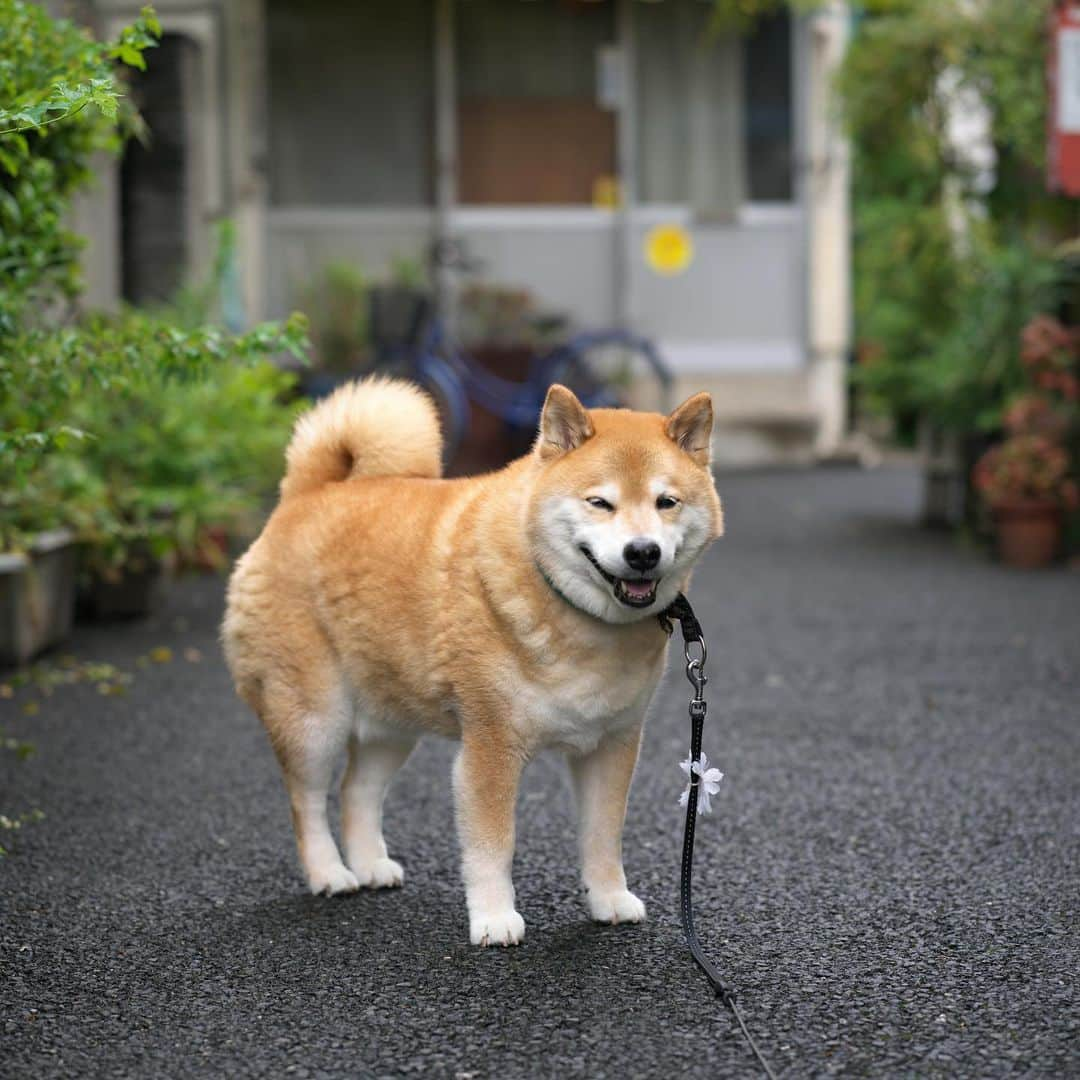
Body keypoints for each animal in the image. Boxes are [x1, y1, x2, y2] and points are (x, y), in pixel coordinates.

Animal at [222, 378, 721, 946]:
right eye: (600, 502)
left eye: (666, 502)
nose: (642, 552)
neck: (573, 617)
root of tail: (304, 496)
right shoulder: (491, 747)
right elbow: (492, 847)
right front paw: (493, 918)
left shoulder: (611, 745)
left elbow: (602, 835)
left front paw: (609, 898)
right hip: (314, 720)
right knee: (305, 801)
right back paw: (330, 873)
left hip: (391, 725)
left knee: (357, 790)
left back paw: (369, 864)